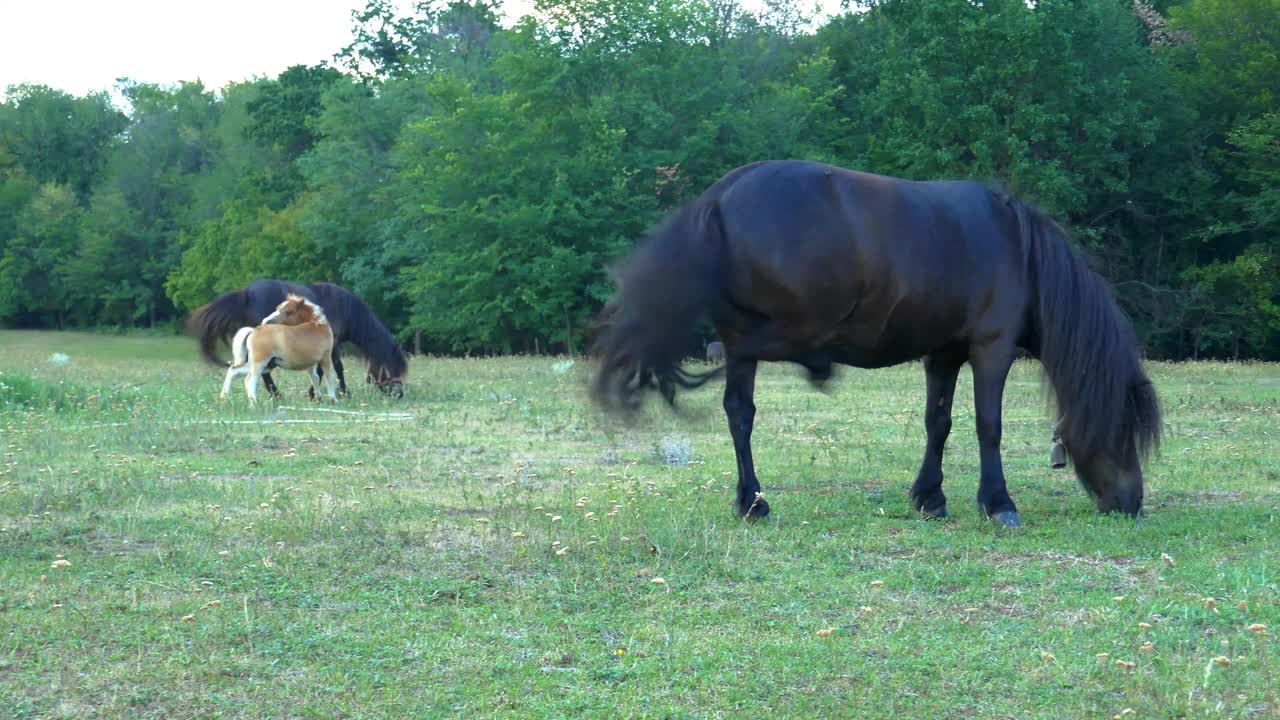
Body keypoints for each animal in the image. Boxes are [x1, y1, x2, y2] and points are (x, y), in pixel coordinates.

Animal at [186, 278, 407, 394]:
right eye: (394, 367)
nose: (399, 394)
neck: (344, 309)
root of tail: (247, 294)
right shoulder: (332, 345)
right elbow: (336, 368)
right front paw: (340, 392)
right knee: (261, 373)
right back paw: (275, 395)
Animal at [588, 158, 1162, 527]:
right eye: (1126, 428)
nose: (1132, 503)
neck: (1020, 250)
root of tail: (723, 192)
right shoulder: (991, 348)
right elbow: (988, 426)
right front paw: (998, 503)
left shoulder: (944, 353)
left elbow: (938, 423)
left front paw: (930, 498)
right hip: (760, 333)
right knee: (751, 368)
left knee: (739, 410)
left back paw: (751, 500)